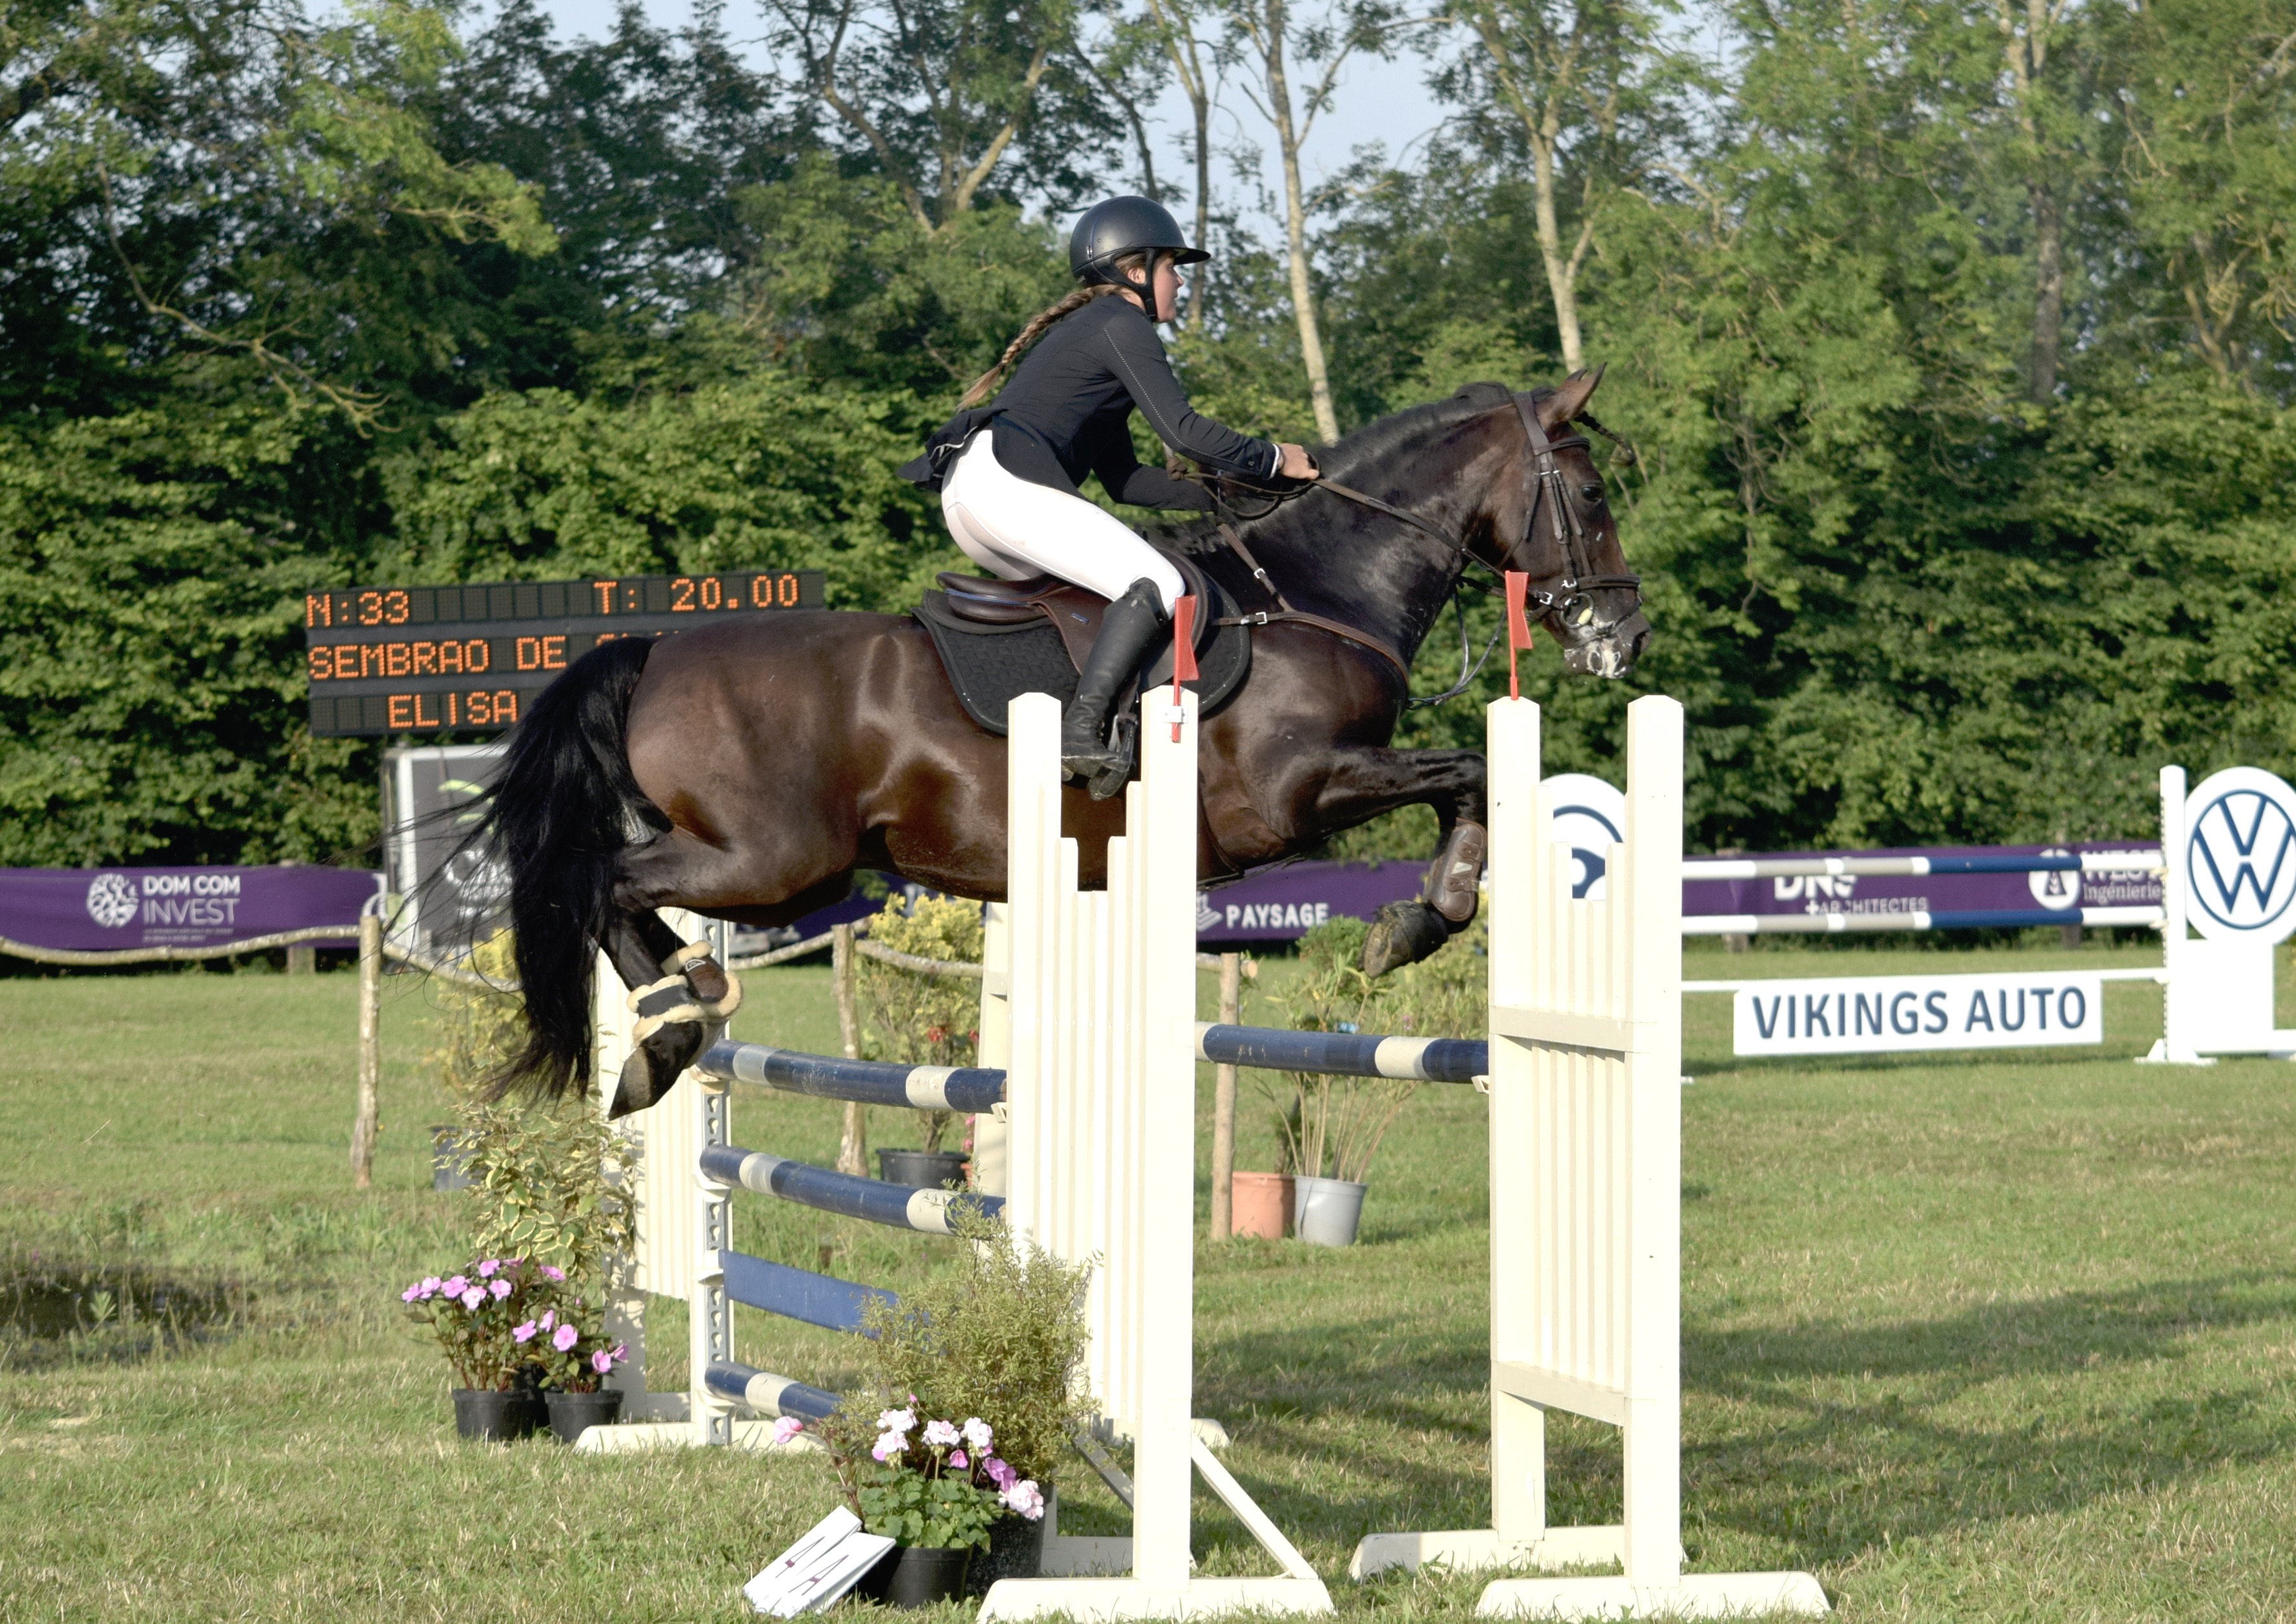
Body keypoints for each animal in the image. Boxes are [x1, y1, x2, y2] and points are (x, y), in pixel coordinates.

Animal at [480, 369, 1649, 1116]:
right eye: (1591, 493)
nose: (1623, 636)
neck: (1316, 591)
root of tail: (653, 650)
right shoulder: (1296, 793)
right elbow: (1468, 774)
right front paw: (1419, 920)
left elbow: (1465, 778)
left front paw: (1416, 918)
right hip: (778, 864)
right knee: (603, 879)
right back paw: (674, 1025)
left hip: (767, 866)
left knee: (615, 888)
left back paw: (678, 1014)